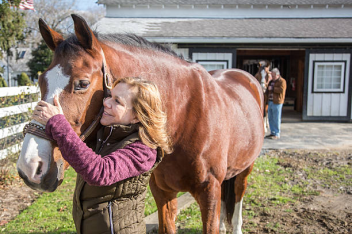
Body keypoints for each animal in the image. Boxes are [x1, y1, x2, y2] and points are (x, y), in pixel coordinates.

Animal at [16, 15, 264, 234]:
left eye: (82, 83)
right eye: (41, 81)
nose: (30, 168)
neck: (182, 118)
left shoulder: (209, 193)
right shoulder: (163, 193)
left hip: (246, 169)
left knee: (238, 195)